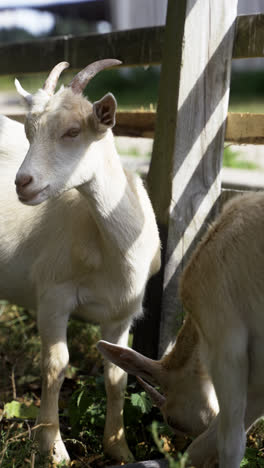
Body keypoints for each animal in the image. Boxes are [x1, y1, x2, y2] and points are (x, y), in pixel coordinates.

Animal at [0, 59, 161, 464]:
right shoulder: (53, 295)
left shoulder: (122, 312)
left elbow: (118, 374)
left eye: (73, 131)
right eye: (29, 132)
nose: (23, 183)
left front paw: (119, 448)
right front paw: (53, 448)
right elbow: (56, 366)